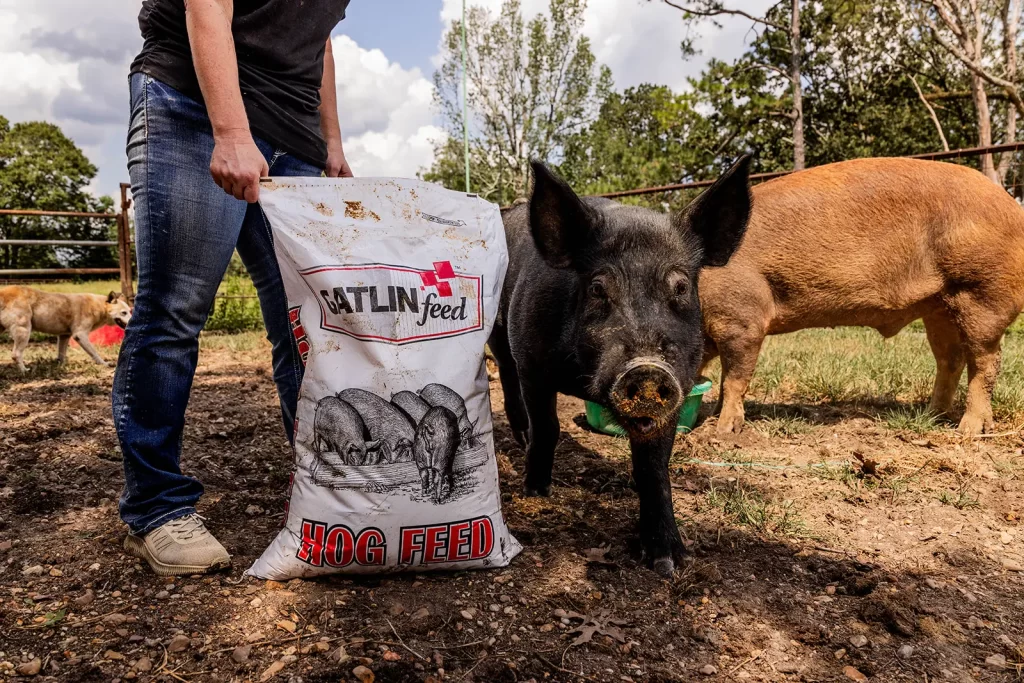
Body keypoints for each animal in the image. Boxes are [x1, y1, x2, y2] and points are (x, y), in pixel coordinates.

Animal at [490, 158, 752, 575]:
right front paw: (537, 491)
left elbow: (654, 465)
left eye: (681, 287)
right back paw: (521, 439)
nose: (646, 369)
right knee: (506, 373)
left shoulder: (678, 385)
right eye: (598, 288)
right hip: (500, 330)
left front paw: (668, 563)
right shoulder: (533, 363)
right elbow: (548, 426)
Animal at [699, 158, 1024, 436]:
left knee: (986, 360)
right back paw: (931, 416)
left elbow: (735, 378)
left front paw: (723, 430)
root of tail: (1013, 207)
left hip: (982, 292)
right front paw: (712, 417)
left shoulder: (743, 318)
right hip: (939, 307)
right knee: (950, 359)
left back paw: (969, 430)